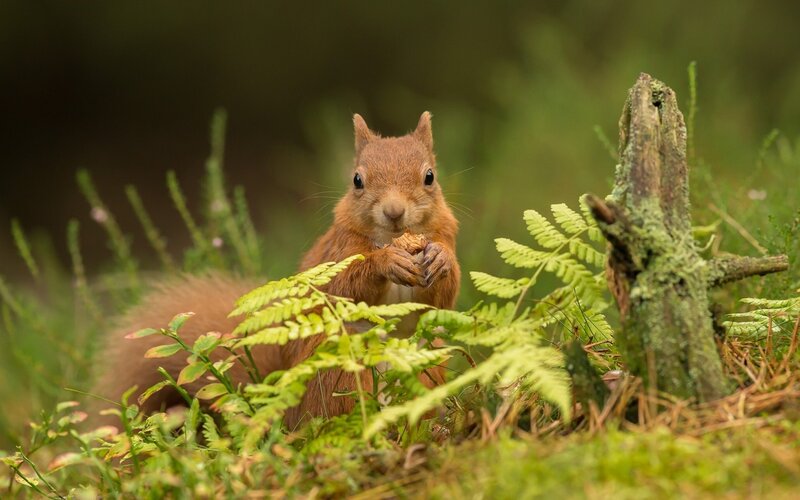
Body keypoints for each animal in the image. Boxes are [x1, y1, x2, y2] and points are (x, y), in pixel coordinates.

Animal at [94, 112, 461, 429]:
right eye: (357, 180)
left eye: (430, 176)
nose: (394, 212)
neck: (391, 239)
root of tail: (291, 416)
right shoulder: (338, 252)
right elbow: (347, 285)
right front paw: (386, 263)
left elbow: (442, 295)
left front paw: (440, 259)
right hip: (338, 371)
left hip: (425, 362)